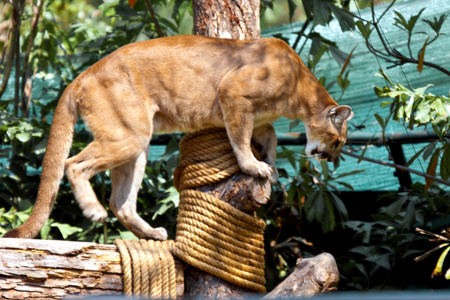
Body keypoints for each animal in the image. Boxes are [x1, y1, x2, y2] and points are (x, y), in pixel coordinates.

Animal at [4, 35, 356, 240]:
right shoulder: (233, 94)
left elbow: (269, 139)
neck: (300, 88)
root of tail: (81, 74)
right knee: (74, 165)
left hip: (137, 145)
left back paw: (152, 234)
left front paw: (270, 167)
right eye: (339, 142)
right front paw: (254, 167)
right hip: (129, 136)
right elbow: (241, 142)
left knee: (121, 202)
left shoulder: (258, 119)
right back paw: (93, 210)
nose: (331, 157)